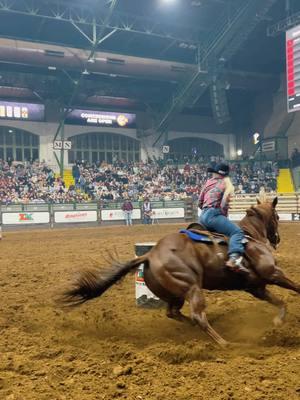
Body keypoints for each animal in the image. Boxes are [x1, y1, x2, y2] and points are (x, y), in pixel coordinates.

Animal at [61, 198, 300, 346]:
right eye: (277, 216)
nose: (277, 239)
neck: (250, 236)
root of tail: (150, 255)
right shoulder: (273, 273)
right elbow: (296, 287)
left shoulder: (257, 287)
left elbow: (281, 302)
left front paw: (278, 322)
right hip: (191, 286)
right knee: (198, 316)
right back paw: (224, 342)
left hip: (173, 294)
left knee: (174, 313)